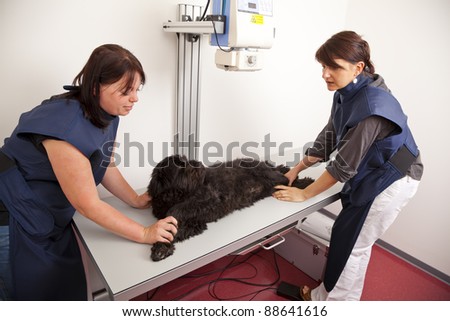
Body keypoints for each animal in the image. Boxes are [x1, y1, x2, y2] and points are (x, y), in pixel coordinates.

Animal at [148, 154, 312, 262]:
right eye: (182, 165)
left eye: (186, 160)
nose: (198, 162)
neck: (178, 196)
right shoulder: (195, 224)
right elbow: (171, 230)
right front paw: (161, 247)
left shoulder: (208, 197)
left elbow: (177, 210)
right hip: (270, 185)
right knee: (286, 180)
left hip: (269, 176)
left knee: (287, 178)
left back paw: (305, 183)